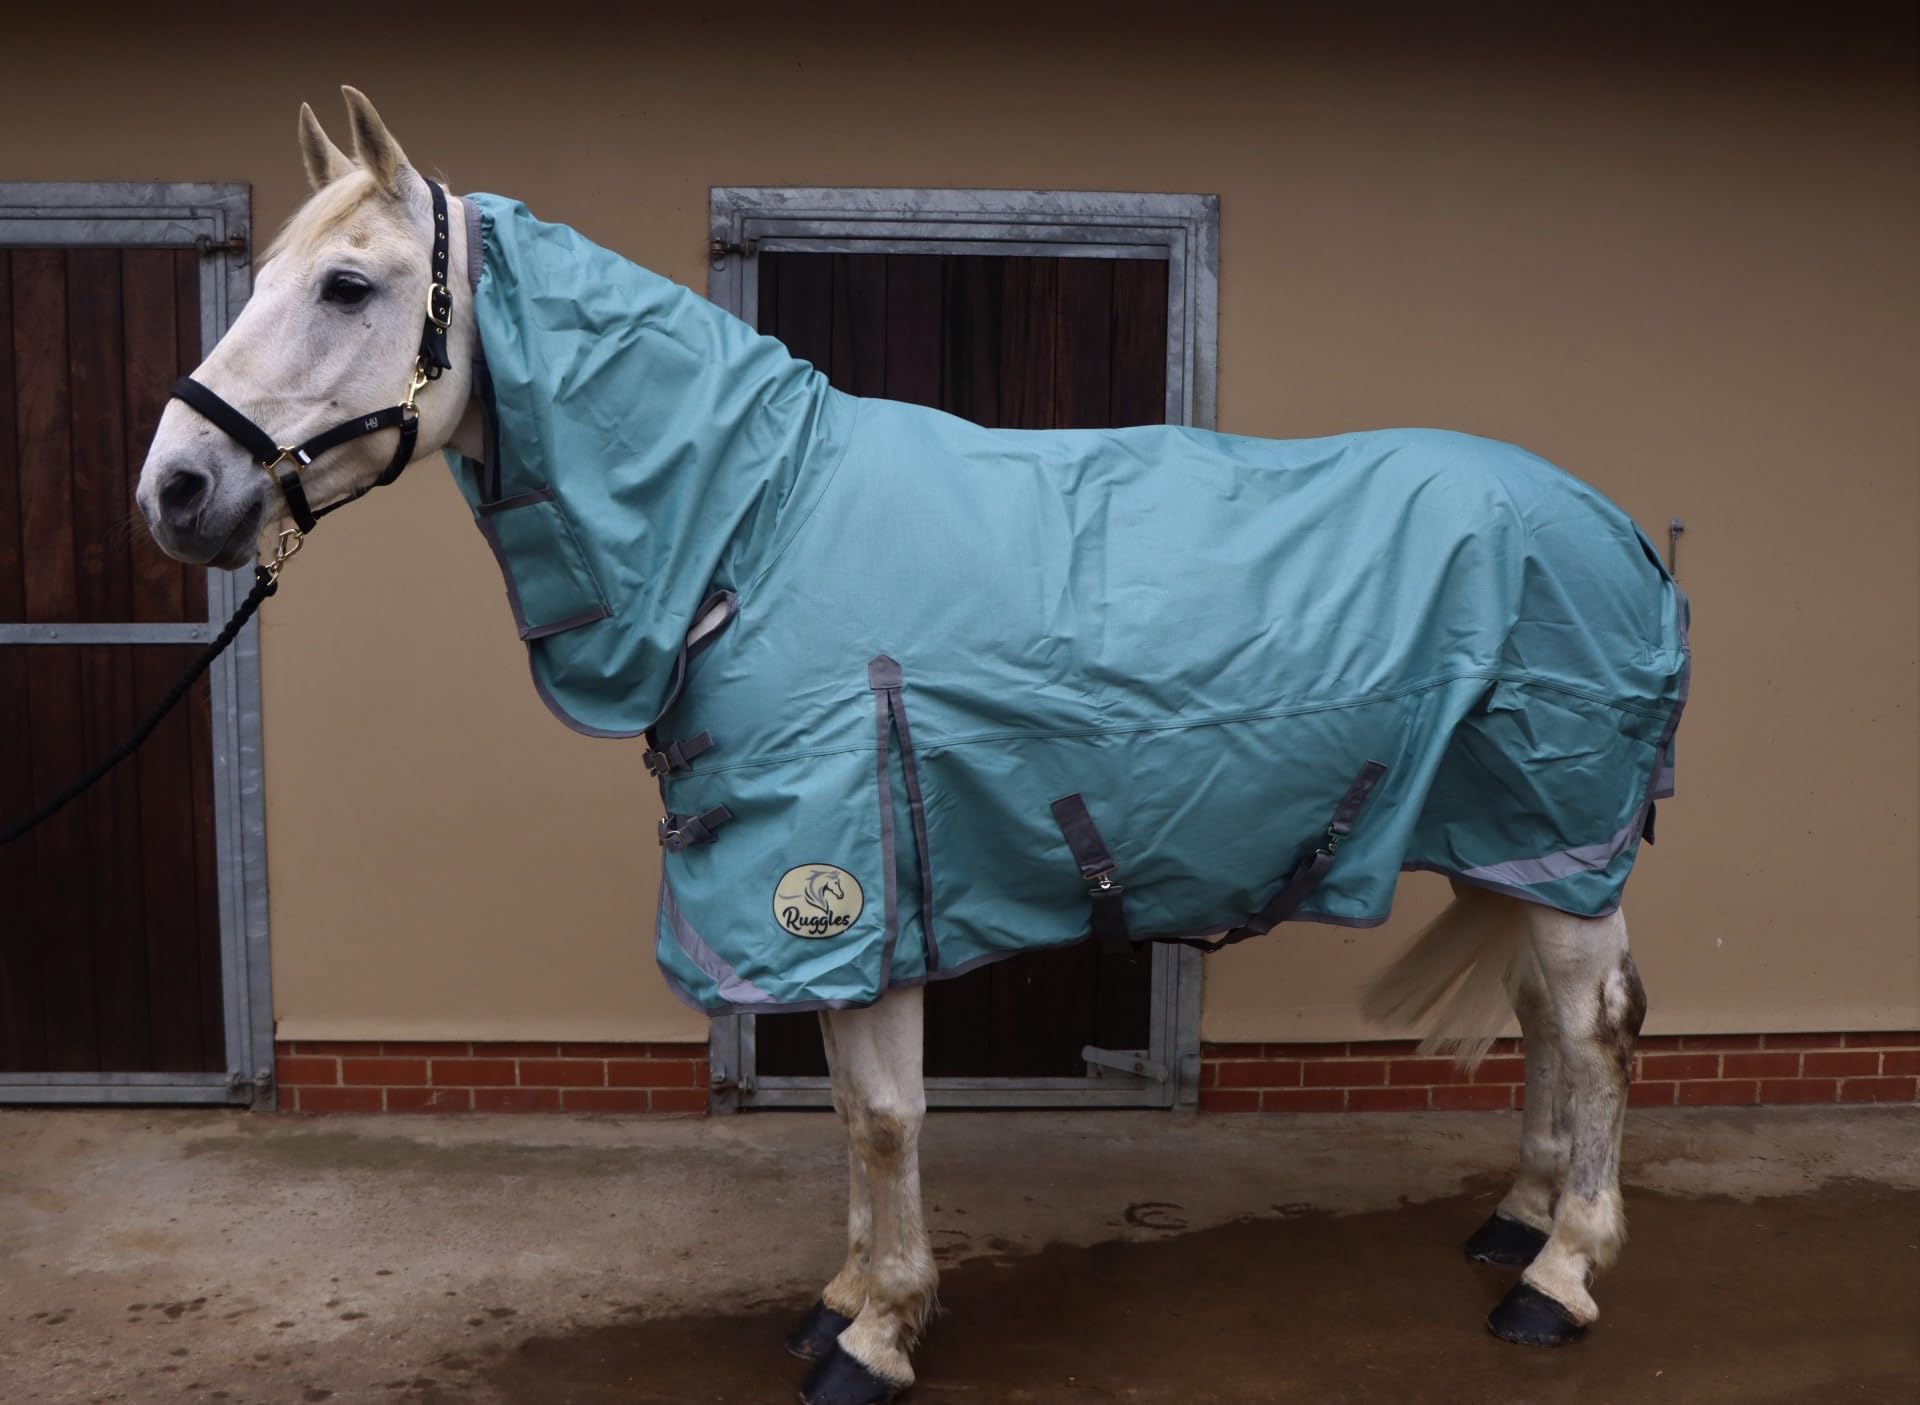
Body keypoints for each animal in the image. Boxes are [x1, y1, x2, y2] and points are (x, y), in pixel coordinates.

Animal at [137, 88, 1687, 1404]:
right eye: (263, 275)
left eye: (348, 286)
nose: (175, 488)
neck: (754, 531)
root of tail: (1616, 528)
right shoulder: (829, 908)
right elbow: (844, 1114)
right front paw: (842, 1297)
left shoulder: (847, 889)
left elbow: (883, 1117)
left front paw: (875, 1335)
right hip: (1513, 837)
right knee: (1544, 1015)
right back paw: (1518, 1218)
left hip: (1565, 828)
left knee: (1597, 1026)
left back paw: (1559, 1275)